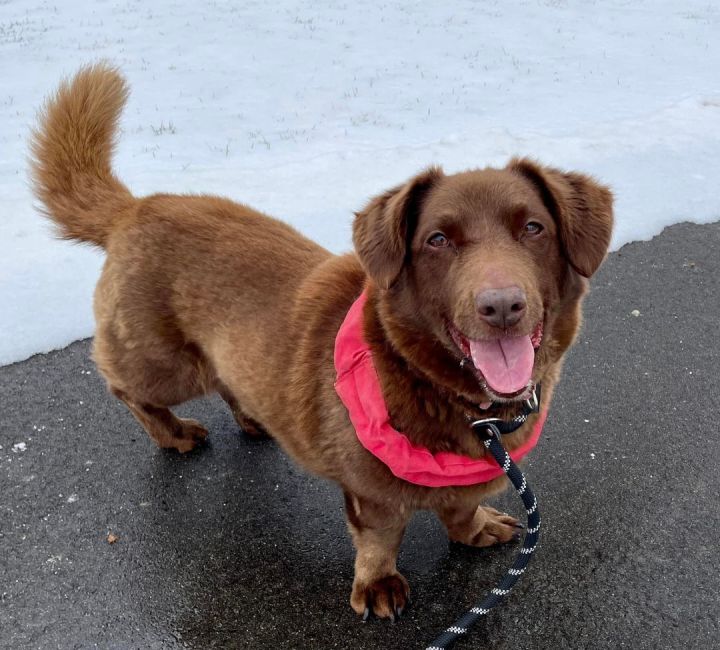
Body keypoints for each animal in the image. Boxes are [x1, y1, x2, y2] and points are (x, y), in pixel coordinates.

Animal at [31, 64, 612, 616]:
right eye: (437, 240)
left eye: (533, 228)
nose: (502, 306)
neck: (466, 406)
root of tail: (133, 208)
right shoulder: (371, 494)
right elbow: (381, 538)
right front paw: (377, 586)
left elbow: (460, 506)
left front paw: (474, 530)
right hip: (165, 365)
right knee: (127, 389)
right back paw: (172, 433)